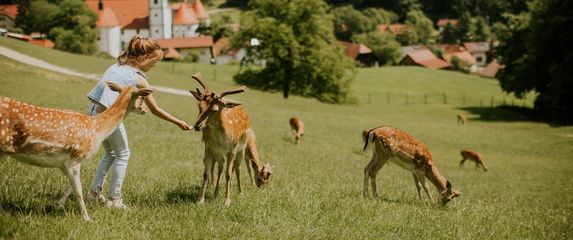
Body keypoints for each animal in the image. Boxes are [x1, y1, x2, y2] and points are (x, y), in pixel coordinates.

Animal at [0, 81, 154, 220]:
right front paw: (87, 218)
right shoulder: (75, 157)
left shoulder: (66, 163)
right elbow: (78, 190)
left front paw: (57, 205)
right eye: (142, 97)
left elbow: (71, 186)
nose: (145, 110)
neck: (96, 129)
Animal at [189, 72, 274, 205]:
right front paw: (200, 200)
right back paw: (216, 192)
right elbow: (205, 173)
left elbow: (229, 173)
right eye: (199, 106)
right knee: (220, 167)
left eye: (215, 110)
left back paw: (240, 192)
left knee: (237, 168)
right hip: (220, 153)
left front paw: (227, 201)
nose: (197, 125)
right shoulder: (209, 148)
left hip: (241, 150)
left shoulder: (232, 149)